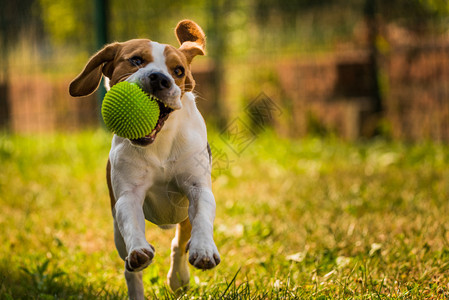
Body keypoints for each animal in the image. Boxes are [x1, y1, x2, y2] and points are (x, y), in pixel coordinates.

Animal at [68, 19, 219, 298]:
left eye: (178, 70)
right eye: (136, 60)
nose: (159, 78)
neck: (158, 144)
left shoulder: (197, 188)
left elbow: (203, 215)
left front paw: (204, 249)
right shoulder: (128, 195)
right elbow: (132, 225)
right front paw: (139, 250)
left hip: (183, 216)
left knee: (179, 243)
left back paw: (178, 278)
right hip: (117, 233)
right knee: (131, 269)